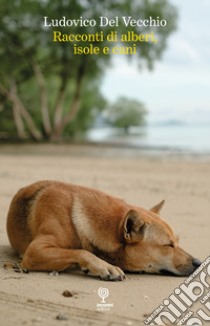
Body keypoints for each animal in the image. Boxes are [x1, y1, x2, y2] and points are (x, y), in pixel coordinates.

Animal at [6, 181, 200, 280]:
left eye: (177, 241)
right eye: (168, 245)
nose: (199, 263)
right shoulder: (35, 251)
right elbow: (81, 251)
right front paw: (104, 266)